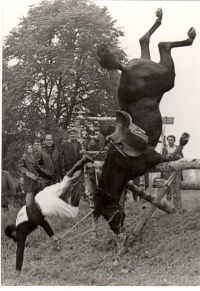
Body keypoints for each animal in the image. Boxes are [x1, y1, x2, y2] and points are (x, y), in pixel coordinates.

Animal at [94, 9, 196, 237]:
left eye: (108, 213)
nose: (117, 230)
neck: (120, 162)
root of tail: (125, 68)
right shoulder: (157, 159)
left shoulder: (156, 159)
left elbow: (175, 157)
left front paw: (183, 139)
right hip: (154, 66)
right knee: (150, 41)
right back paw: (168, 23)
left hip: (166, 78)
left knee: (162, 45)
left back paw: (188, 35)